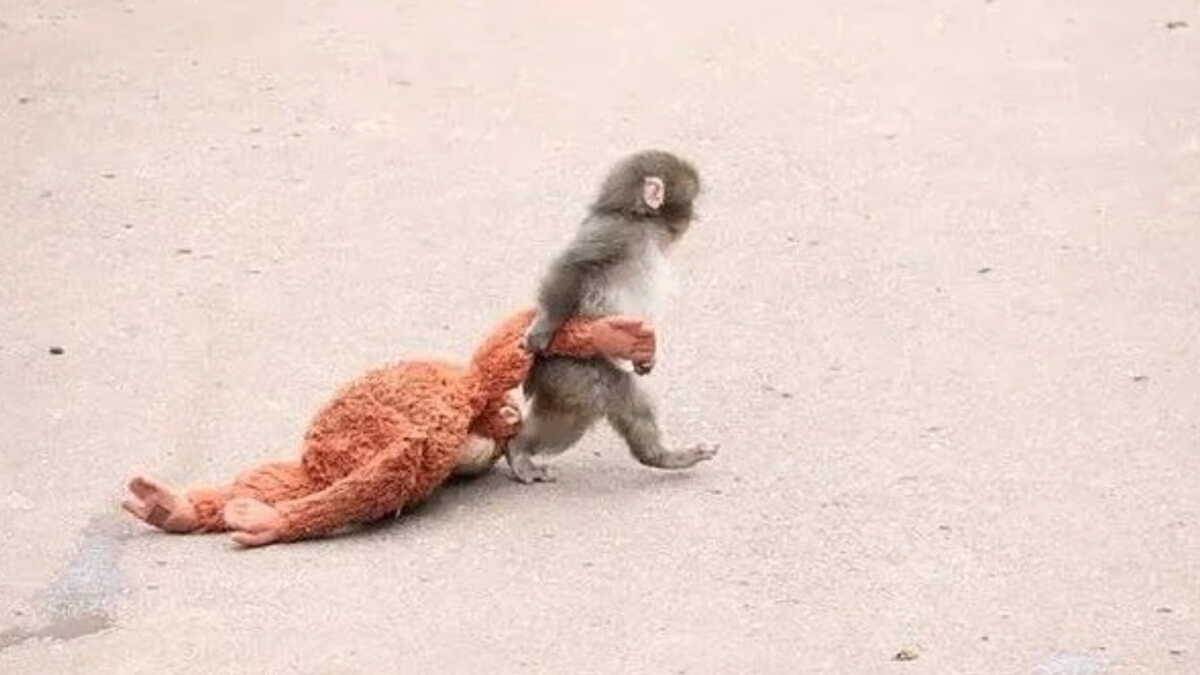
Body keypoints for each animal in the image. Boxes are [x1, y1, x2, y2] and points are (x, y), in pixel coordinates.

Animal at [506, 149, 719, 483]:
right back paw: (518, 451)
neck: (639, 220)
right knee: (594, 403)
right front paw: (543, 327)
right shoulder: (616, 234)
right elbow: (574, 266)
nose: (694, 216)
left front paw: (646, 358)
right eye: (691, 200)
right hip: (571, 368)